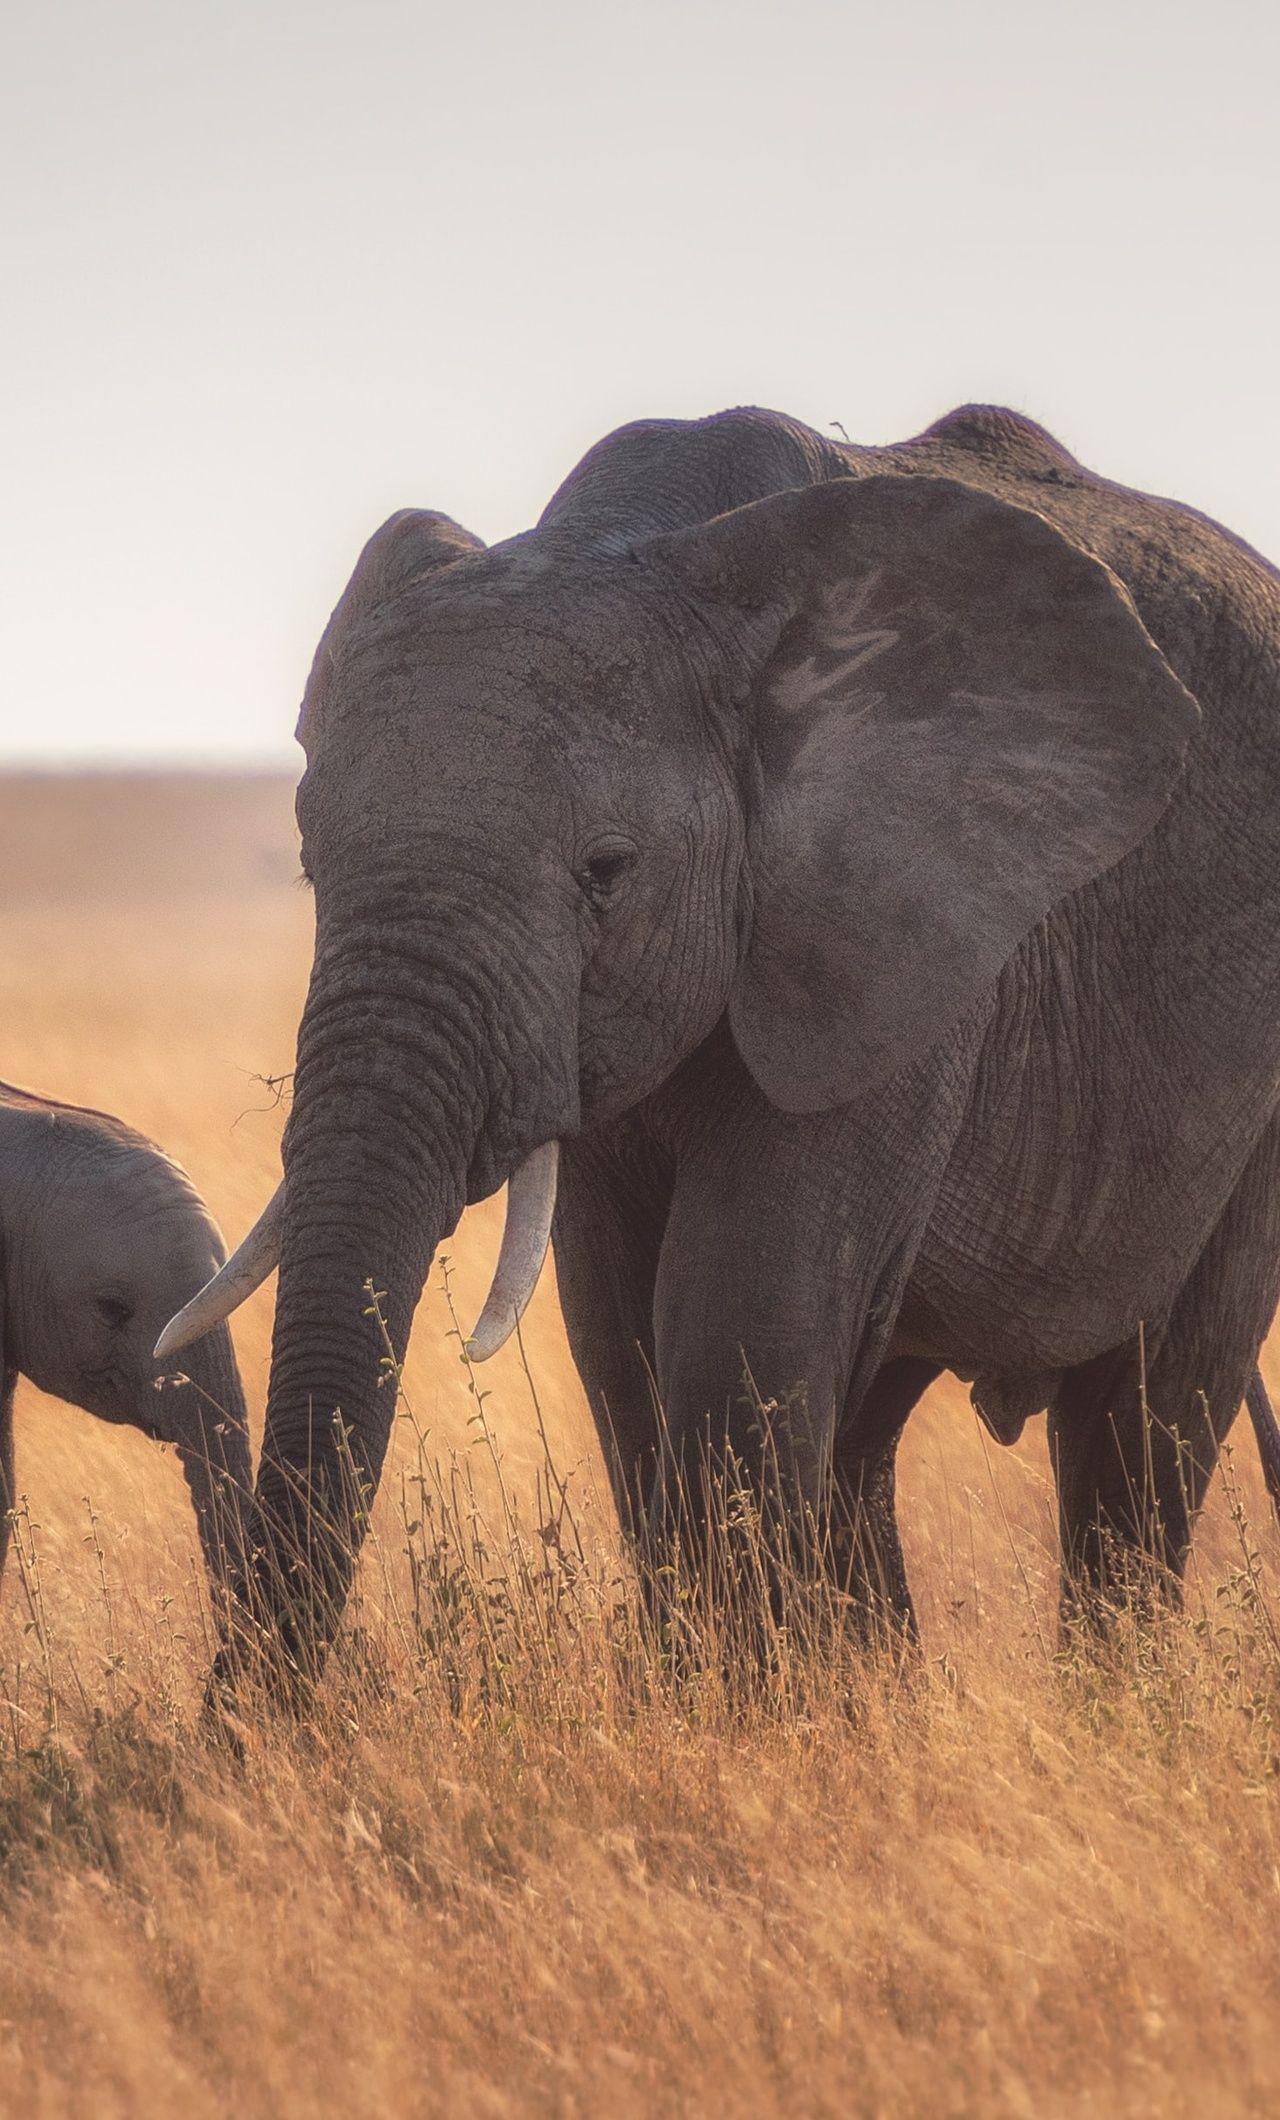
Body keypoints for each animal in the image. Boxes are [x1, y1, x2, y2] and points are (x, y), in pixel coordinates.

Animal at [159, 400, 1280, 1678]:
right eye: (309, 863)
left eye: (605, 871)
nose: (251, 1717)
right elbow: (619, 1335)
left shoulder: (900, 938)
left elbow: (738, 1320)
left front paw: (737, 1706)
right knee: (869, 1426)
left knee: (1146, 1414)